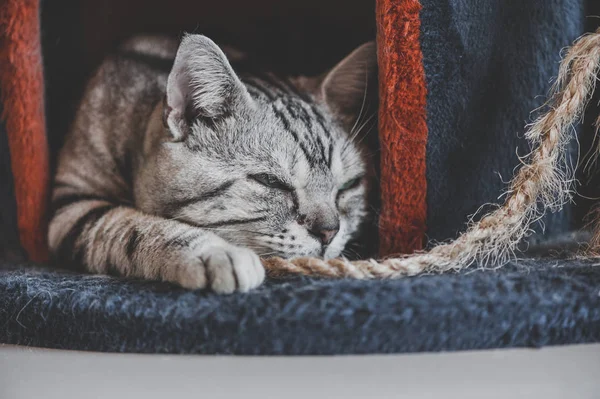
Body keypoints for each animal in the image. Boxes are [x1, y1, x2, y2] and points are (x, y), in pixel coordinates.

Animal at [48, 33, 376, 294]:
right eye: (270, 181)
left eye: (349, 185)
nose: (329, 231)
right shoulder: (69, 206)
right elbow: (129, 226)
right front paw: (216, 252)